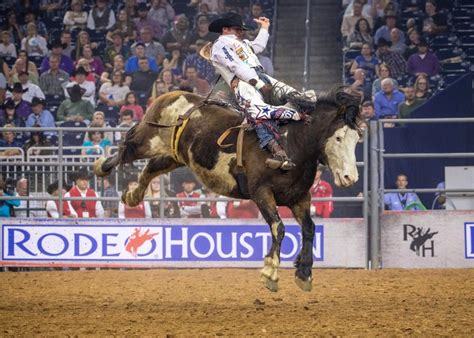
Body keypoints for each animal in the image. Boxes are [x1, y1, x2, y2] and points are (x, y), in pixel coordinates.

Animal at [96, 86, 362, 292]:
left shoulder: (299, 197)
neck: (290, 144)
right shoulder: (261, 193)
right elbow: (279, 228)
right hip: (148, 139)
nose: (350, 177)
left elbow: (309, 228)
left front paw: (304, 273)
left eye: (357, 139)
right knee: (126, 148)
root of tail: (169, 94)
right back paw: (102, 166)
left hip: (174, 156)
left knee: (150, 168)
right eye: (338, 138)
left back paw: (132, 196)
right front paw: (270, 273)